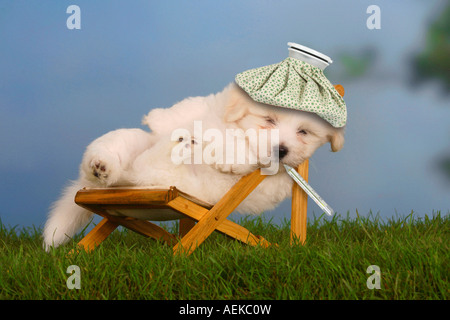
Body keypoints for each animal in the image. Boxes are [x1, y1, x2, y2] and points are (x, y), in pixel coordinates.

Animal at [43, 82, 344, 250]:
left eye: (304, 132)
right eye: (268, 119)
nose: (282, 150)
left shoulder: (271, 182)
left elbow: (242, 153)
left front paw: (231, 155)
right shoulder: (210, 105)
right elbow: (189, 109)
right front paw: (159, 118)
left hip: (152, 178)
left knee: (140, 170)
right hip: (125, 147)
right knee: (114, 156)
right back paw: (102, 165)